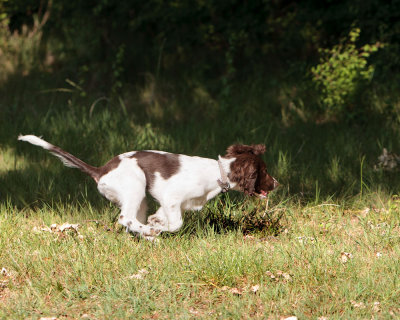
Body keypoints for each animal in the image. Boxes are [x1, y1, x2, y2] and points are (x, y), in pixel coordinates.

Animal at [16, 135, 278, 240]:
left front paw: (156, 223)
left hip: (139, 196)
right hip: (136, 184)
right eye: (264, 172)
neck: (218, 173)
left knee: (132, 220)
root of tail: (101, 170)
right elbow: (176, 223)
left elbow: (163, 216)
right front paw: (158, 227)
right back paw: (150, 233)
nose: (276, 183)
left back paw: (148, 234)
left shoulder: (172, 203)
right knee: (125, 218)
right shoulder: (172, 197)